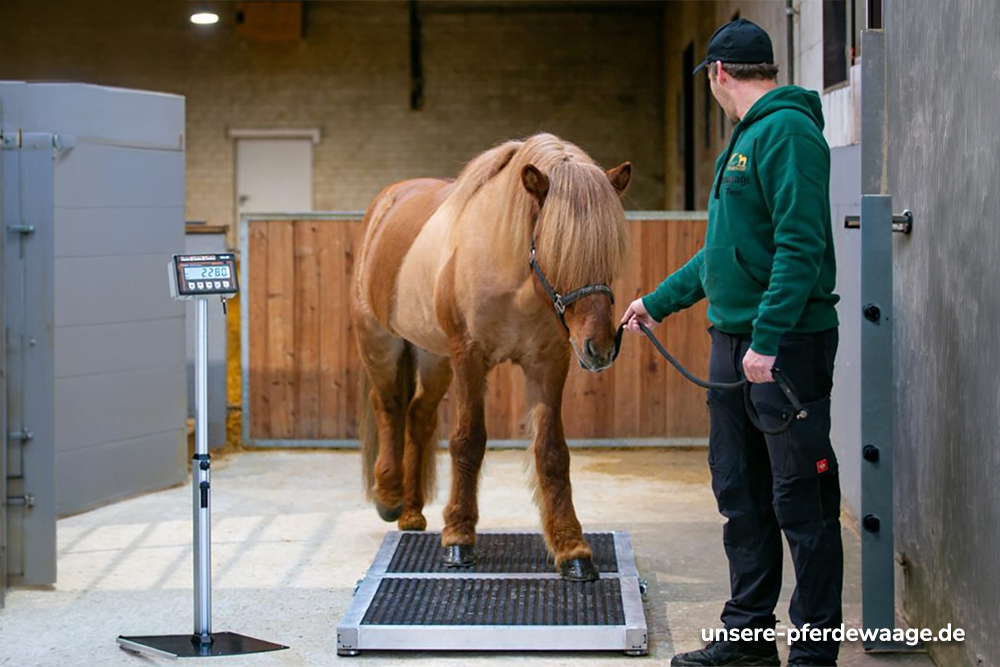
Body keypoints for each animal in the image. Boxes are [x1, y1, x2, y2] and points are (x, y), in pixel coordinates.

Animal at [350, 133, 631, 581]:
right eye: (557, 248)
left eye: (609, 253)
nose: (600, 348)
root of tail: (385, 203)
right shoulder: (469, 357)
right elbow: (468, 441)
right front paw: (459, 538)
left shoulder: (549, 363)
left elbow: (552, 451)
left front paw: (571, 547)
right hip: (379, 341)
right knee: (389, 406)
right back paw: (390, 496)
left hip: (434, 357)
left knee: (419, 415)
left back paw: (411, 511)